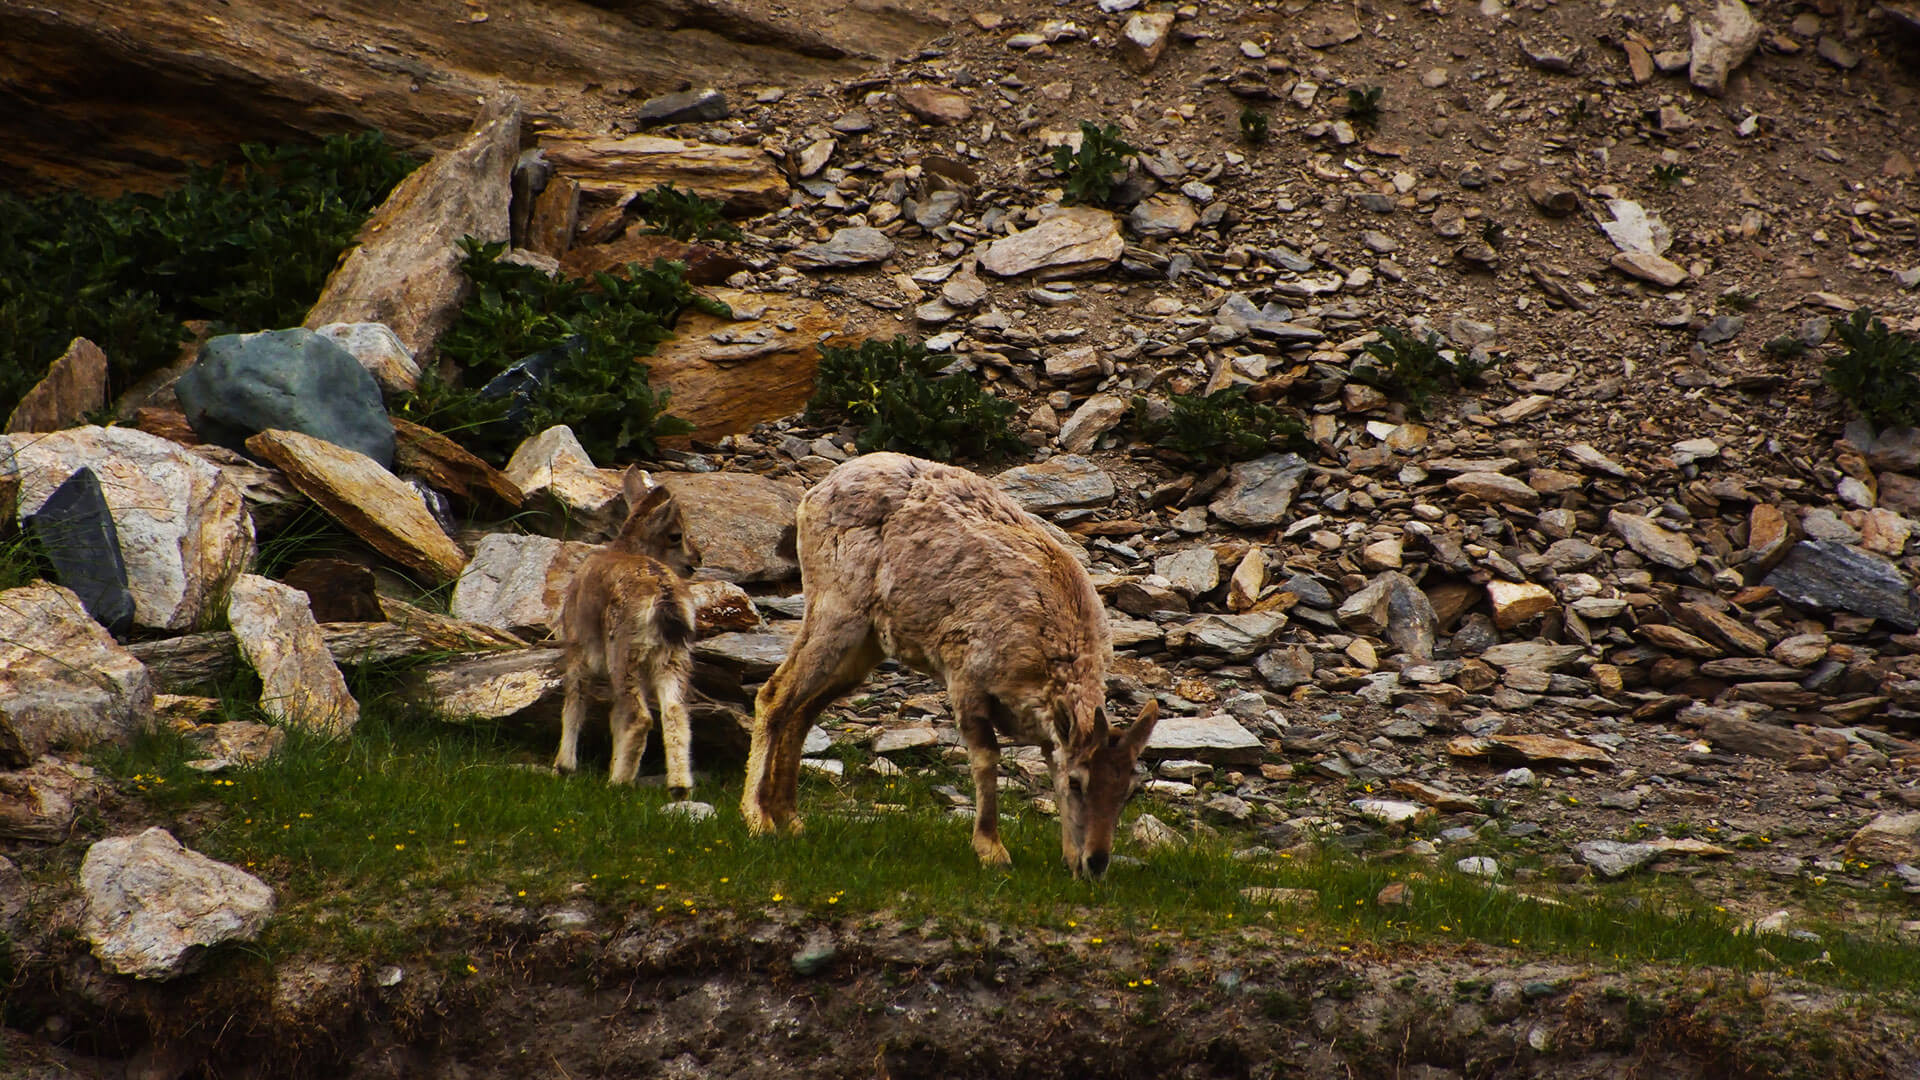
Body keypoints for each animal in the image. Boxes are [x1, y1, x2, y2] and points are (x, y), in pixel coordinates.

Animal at [556, 463, 706, 791]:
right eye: (676, 535)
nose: (697, 558)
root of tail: (665, 599)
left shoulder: (577, 647)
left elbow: (575, 700)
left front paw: (563, 766)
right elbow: (614, 717)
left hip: (623, 655)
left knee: (641, 717)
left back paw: (618, 783)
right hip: (672, 658)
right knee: (674, 712)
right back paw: (678, 787)